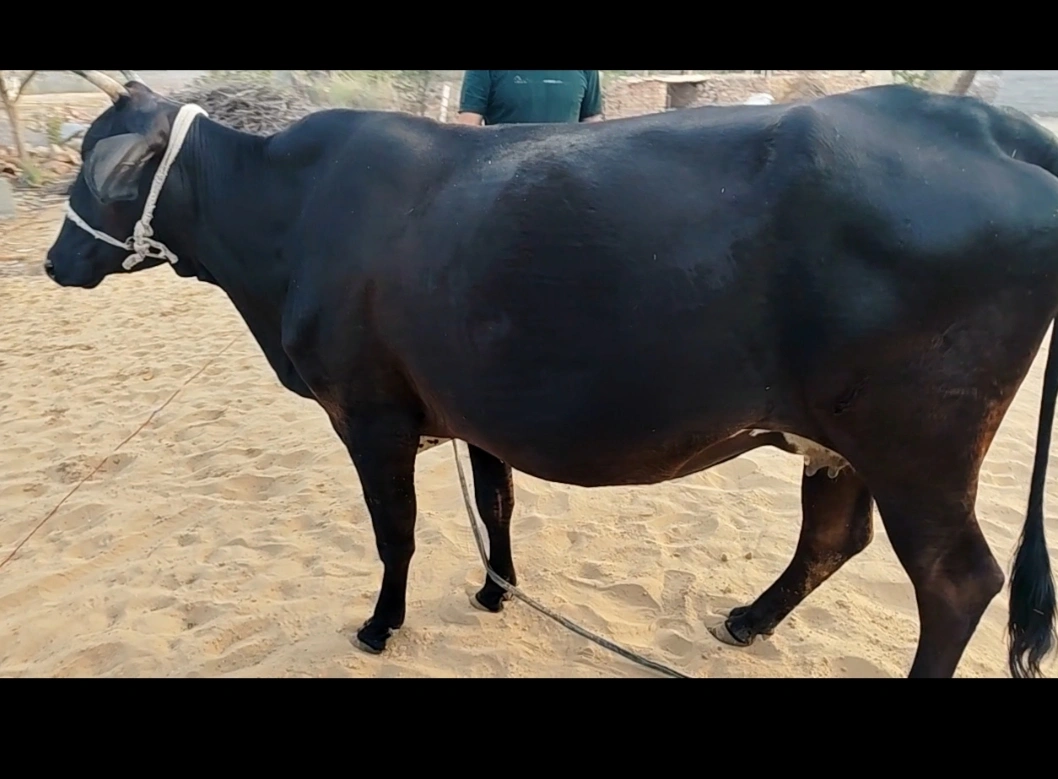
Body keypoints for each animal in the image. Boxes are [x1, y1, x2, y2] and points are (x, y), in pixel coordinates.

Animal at [42, 70, 1058, 679]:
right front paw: (496, 588)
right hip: (837, 435)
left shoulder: (368, 412)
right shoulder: (473, 405)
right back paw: (745, 620)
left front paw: (380, 625)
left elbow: (395, 532)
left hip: (919, 445)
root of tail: (987, 121)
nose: (53, 261)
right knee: (831, 539)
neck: (286, 222)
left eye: (97, 172)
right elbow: (495, 504)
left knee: (957, 581)